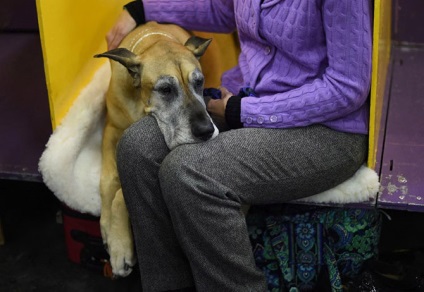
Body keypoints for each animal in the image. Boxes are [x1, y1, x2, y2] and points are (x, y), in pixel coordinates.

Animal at [94, 21, 217, 278]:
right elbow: (108, 180)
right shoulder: (111, 130)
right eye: (166, 89)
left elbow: (120, 195)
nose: (205, 130)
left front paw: (120, 247)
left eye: (199, 82)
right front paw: (106, 226)